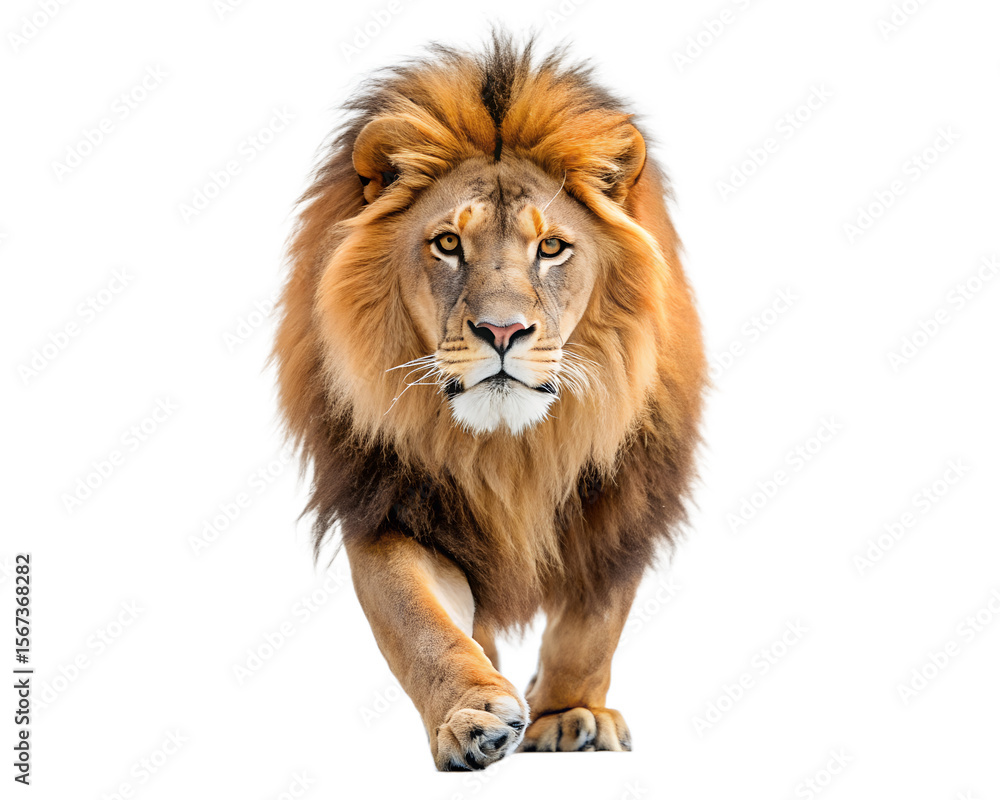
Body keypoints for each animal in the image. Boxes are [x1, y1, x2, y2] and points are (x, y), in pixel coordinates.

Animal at [273, 34, 706, 770]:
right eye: (448, 243)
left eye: (552, 248)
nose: (502, 332)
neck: (509, 448)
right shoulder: (390, 504)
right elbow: (416, 622)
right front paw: (469, 717)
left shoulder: (621, 505)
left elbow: (592, 624)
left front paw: (569, 713)